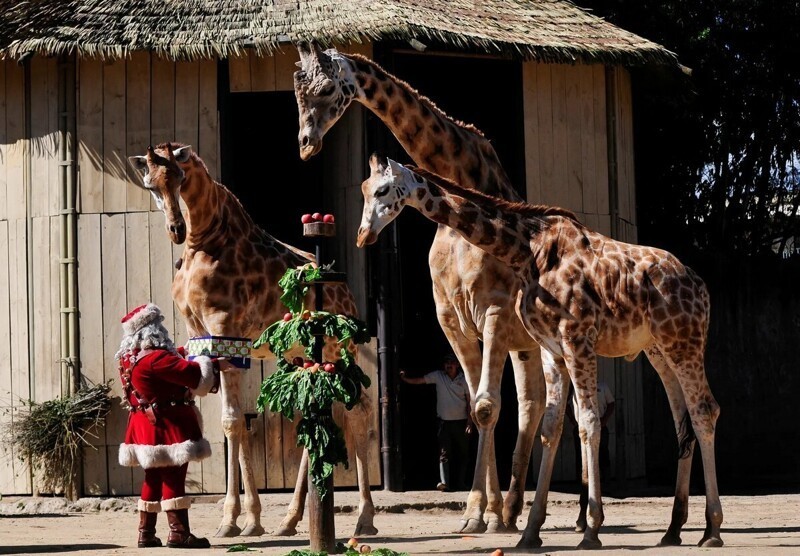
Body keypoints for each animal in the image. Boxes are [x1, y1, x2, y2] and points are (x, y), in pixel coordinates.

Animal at [130, 142, 380, 540]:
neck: (205, 242)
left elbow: (233, 422)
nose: (176, 229)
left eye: (180, 178)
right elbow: (234, 422)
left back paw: (365, 519)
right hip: (300, 353)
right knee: (313, 408)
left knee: (358, 411)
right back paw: (290, 520)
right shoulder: (203, 336)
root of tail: (346, 290)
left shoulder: (225, 327)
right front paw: (252, 520)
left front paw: (231, 520)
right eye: (150, 184)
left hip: (340, 347)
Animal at [296, 40, 548, 536]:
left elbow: (487, 406)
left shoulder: (493, 311)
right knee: (532, 403)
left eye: (328, 88)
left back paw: (533, 512)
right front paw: (481, 511)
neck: (466, 176)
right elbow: (478, 405)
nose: (306, 144)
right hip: (523, 345)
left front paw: (481, 512)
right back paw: (511, 510)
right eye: (298, 90)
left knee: (542, 405)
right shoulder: (451, 318)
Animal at [356, 156, 724, 552]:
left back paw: (712, 530)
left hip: (685, 340)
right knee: (682, 420)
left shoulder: (576, 339)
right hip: (658, 348)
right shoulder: (553, 350)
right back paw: (673, 529)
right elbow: (551, 427)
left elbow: (589, 422)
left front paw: (591, 529)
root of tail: (700, 286)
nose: (363, 235)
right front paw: (531, 531)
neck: (525, 251)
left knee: (705, 411)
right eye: (363, 189)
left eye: (382, 190)